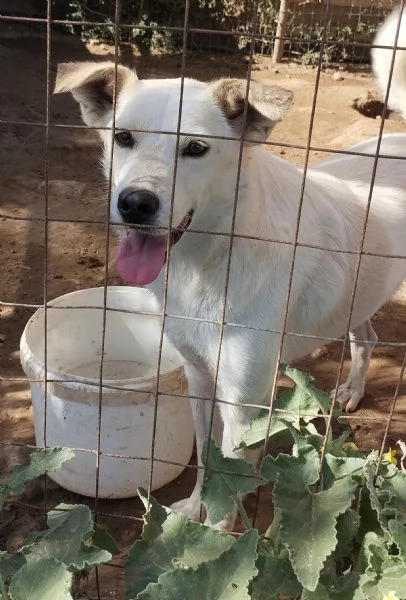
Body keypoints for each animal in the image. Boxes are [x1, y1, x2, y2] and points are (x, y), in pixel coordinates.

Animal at [55, 8, 406, 524]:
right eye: (123, 138)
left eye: (196, 149)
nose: (135, 204)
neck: (209, 259)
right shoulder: (198, 378)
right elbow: (207, 461)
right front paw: (195, 510)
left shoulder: (244, 401)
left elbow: (232, 477)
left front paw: (218, 537)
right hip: (359, 291)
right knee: (367, 339)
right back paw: (352, 392)